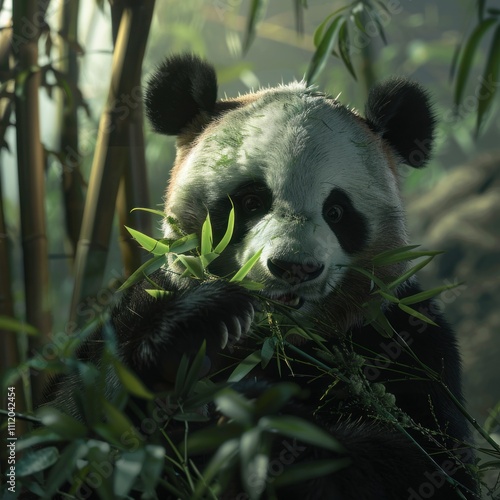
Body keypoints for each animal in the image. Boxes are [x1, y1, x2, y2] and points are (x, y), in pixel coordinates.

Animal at [48, 54, 478, 500]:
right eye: (252, 201)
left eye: (337, 211)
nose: (294, 267)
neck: (280, 340)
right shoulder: (148, 292)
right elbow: (74, 428)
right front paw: (199, 321)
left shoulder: (403, 335)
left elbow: (431, 463)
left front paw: (263, 421)